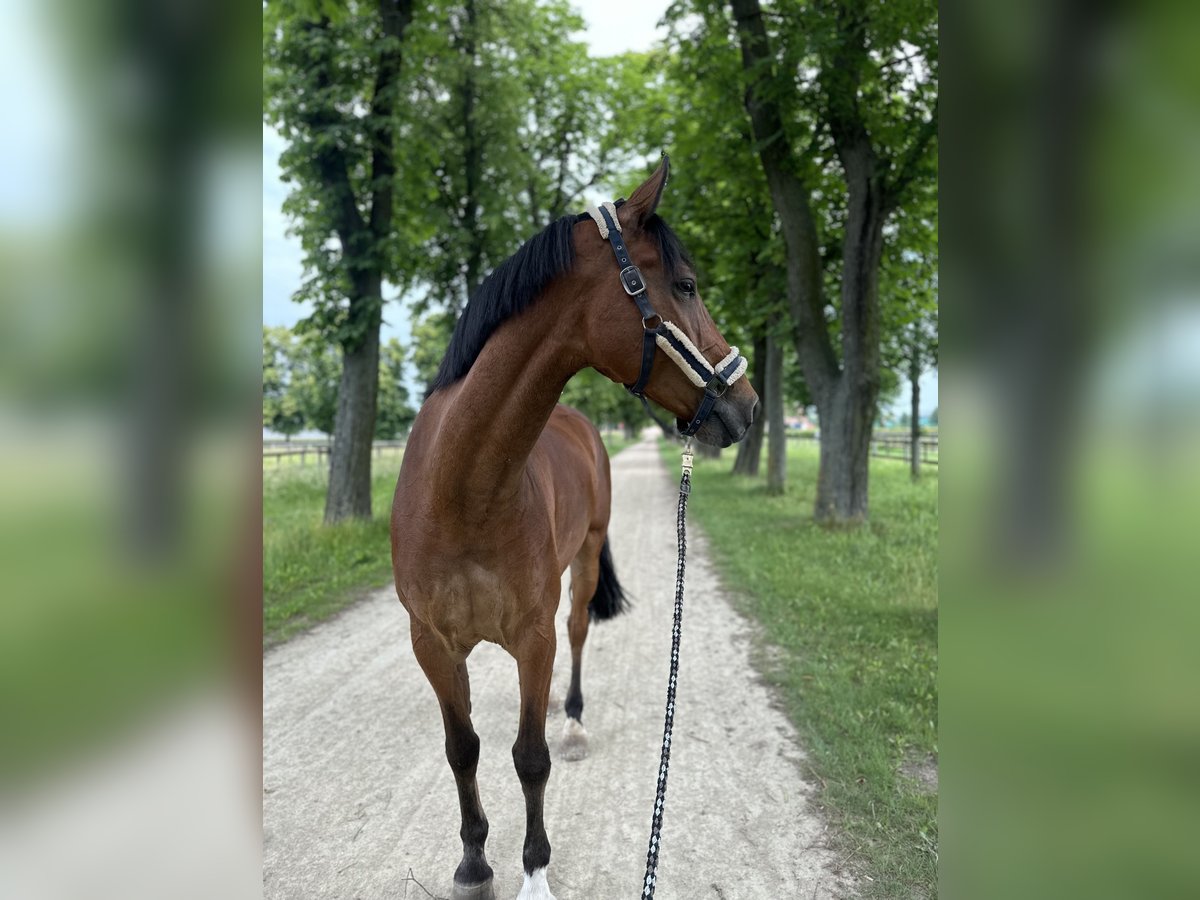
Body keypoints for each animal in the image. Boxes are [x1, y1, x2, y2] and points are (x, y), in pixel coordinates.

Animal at [391, 162, 748, 900]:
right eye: (687, 285)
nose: (748, 405)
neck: (461, 493)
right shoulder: (432, 646)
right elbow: (462, 749)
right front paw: (474, 862)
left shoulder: (533, 637)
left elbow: (531, 757)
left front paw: (535, 873)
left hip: (582, 563)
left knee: (578, 632)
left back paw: (575, 718)